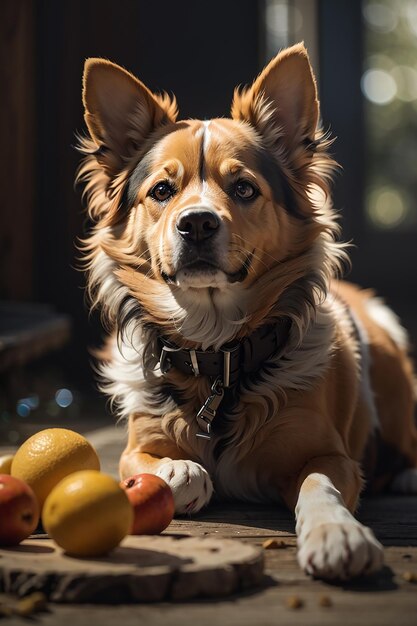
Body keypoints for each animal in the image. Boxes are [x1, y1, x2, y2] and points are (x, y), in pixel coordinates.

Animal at [77, 45, 416, 580]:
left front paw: (337, 535)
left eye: (243, 189)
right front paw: (182, 471)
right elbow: (174, 470)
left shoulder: (331, 455)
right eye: (161, 191)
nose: (196, 223)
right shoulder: (135, 448)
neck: (218, 356)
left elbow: (320, 485)